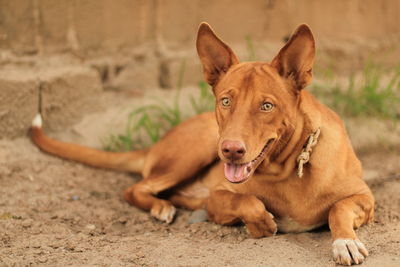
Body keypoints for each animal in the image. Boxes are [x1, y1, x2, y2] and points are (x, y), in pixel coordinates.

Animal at [31, 23, 376, 266]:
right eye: (225, 100)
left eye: (267, 106)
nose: (231, 150)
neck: (287, 169)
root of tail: (159, 142)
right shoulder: (218, 198)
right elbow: (248, 202)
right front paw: (262, 223)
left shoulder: (365, 198)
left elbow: (338, 209)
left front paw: (344, 242)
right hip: (196, 149)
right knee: (136, 188)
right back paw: (160, 207)